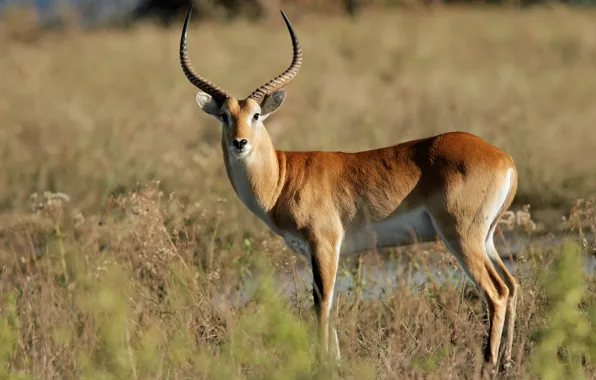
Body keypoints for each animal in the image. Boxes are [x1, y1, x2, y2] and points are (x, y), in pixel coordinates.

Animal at [177, 4, 516, 370]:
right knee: (512, 285)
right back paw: (507, 361)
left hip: (461, 235)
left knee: (496, 292)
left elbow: (321, 305)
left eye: (255, 115)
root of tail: (503, 158)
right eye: (225, 116)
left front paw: (322, 363)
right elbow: (331, 306)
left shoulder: (324, 243)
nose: (240, 142)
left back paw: (487, 364)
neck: (282, 177)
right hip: (486, 237)